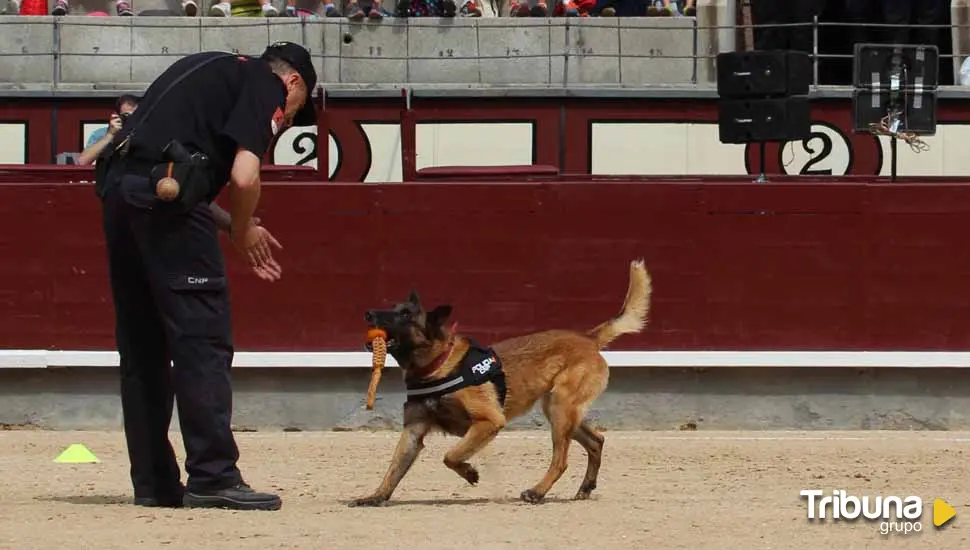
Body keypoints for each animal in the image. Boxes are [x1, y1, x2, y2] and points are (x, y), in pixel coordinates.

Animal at [348, 260, 652, 506]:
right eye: (394, 308)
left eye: (405, 315)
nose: (368, 313)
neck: (436, 365)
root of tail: (589, 338)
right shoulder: (413, 431)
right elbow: (394, 469)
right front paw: (375, 496)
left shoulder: (488, 421)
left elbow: (451, 455)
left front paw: (469, 472)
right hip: (562, 412)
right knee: (596, 441)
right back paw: (585, 487)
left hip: (560, 410)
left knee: (561, 460)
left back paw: (537, 492)